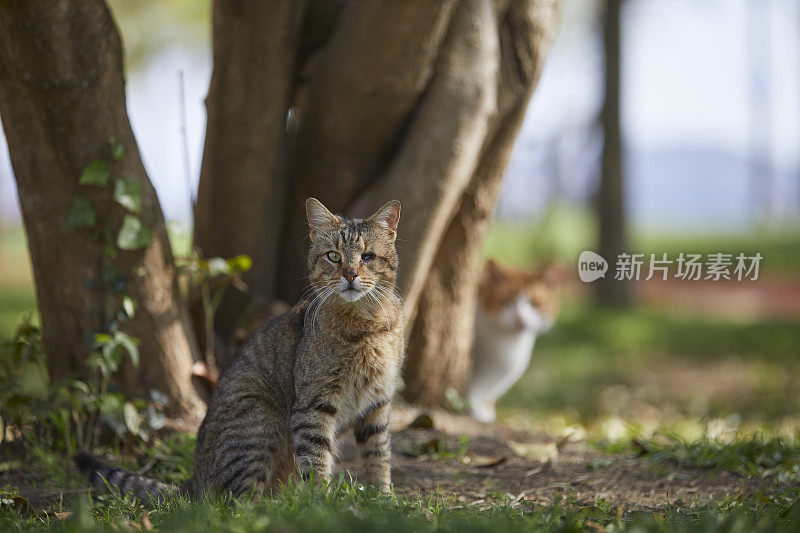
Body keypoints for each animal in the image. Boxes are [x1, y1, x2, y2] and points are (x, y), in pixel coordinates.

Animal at [77, 197, 404, 496]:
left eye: (368, 256)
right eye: (334, 256)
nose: (350, 275)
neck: (366, 325)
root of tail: (194, 480)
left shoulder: (378, 403)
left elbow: (379, 456)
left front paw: (384, 500)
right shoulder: (314, 405)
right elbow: (316, 461)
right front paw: (323, 505)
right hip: (258, 416)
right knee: (238, 503)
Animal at [468, 260, 564, 422]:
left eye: (534, 304)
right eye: (507, 301)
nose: (520, 319)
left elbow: (486, 395)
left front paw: (485, 411)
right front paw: (475, 409)